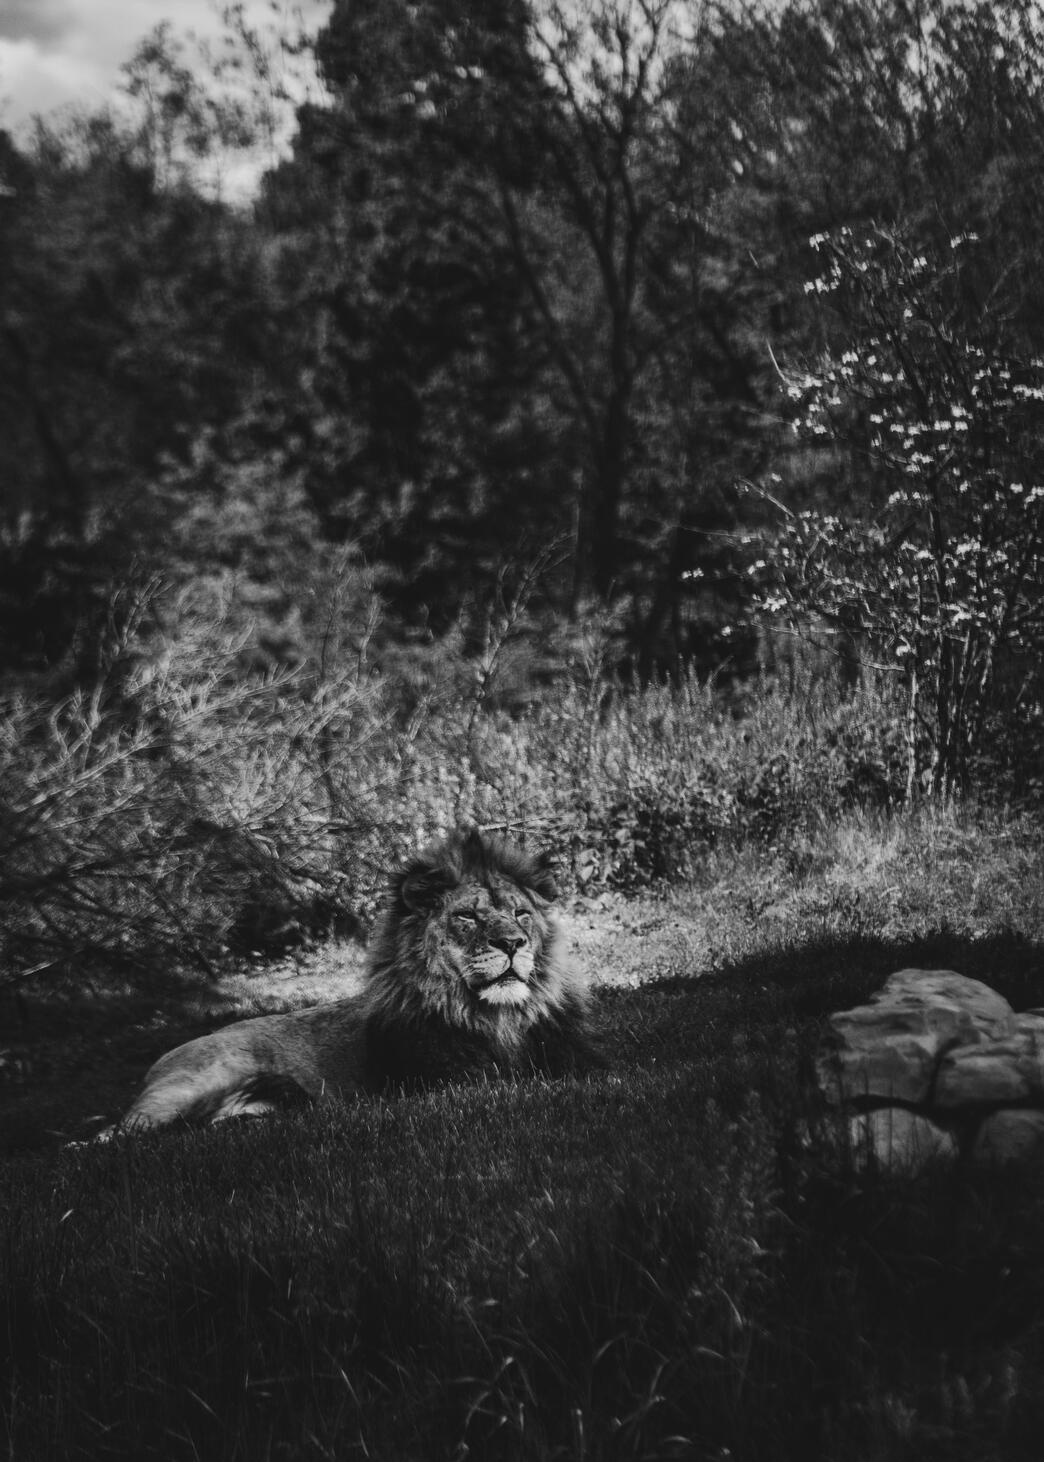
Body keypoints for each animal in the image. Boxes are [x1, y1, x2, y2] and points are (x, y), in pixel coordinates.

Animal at [114, 827, 602, 1131]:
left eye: (521, 913)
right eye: (466, 916)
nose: (513, 943)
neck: (501, 1020)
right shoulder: (450, 1088)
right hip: (195, 1083)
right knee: (114, 1134)